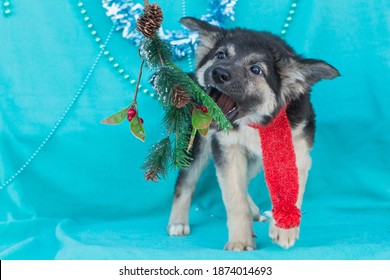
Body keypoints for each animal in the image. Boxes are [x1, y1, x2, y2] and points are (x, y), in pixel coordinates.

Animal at [166, 17, 340, 249]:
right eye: (221, 55)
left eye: (256, 69)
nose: (218, 73)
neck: (254, 121)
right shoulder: (227, 150)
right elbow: (234, 198)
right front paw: (240, 241)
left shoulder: (298, 152)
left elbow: (290, 188)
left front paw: (285, 227)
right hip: (199, 141)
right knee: (186, 181)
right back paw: (177, 222)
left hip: (258, 158)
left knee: (245, 180)